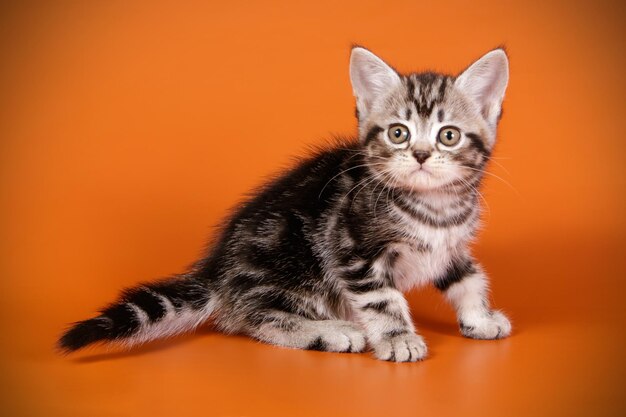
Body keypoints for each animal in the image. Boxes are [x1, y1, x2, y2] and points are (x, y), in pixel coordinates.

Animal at [57, 47, 512, 362]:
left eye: (448, 135)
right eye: (398, 133)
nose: (419, 154)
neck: (435, 208)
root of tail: (219, 272)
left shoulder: (450, 247)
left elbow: (470, 278)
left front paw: (479, 317)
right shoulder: (353, 251)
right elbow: (384, 300)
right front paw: (397, 338)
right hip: (291, 260)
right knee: (252, 316)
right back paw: (331, 331)